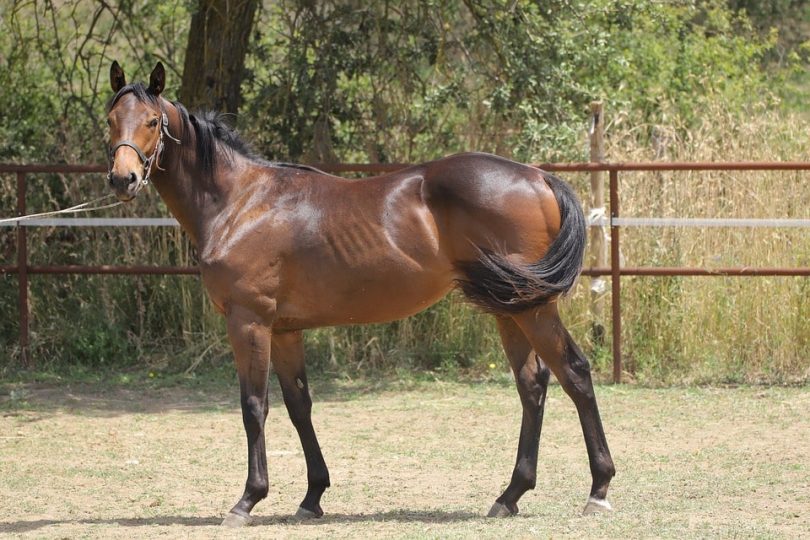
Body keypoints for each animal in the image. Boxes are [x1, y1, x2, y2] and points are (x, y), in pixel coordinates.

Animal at [105, 61, 615, 526]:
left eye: (152, 122)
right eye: (110, 119)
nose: (122, 179)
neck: (241, 203)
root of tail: (538, 177)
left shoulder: (248, 322)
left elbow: (254, 407)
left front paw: (248, 500)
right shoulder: (285, 331)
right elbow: (299, 406)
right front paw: (312, 496)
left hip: (532, 309)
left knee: (574, 373)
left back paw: (598, 490)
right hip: (509, 308)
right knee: (533, 385)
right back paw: (510, 495)